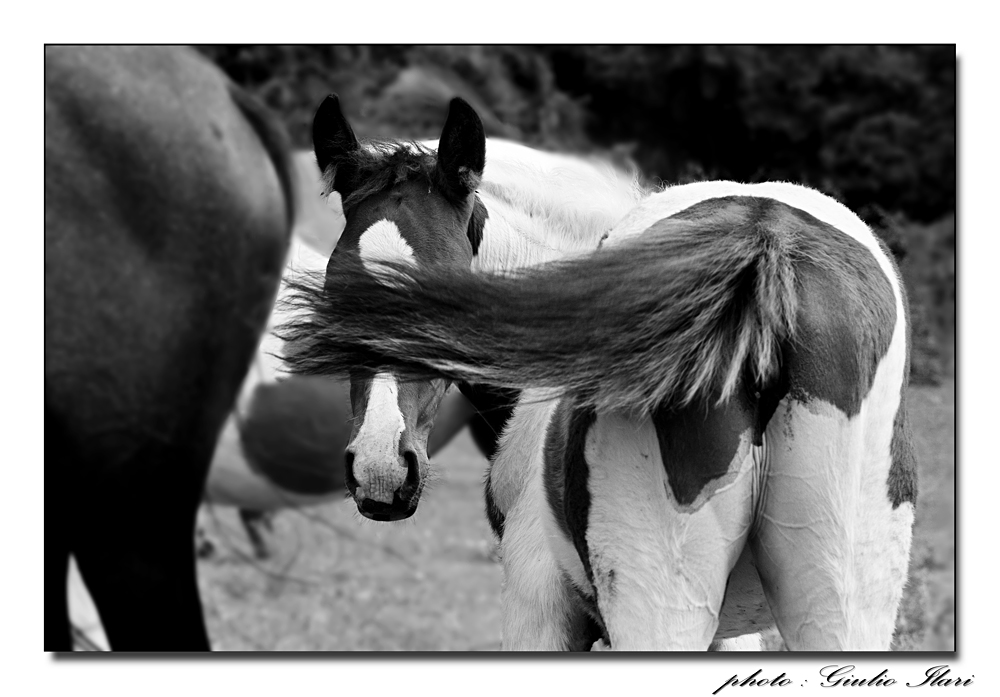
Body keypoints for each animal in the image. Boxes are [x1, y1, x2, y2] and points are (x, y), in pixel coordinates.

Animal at [281, 146, 917, 648]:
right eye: (333, 292)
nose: (380, 468)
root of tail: (766, 246)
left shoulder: (536, 597)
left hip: (660, 603)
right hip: (838, 604)